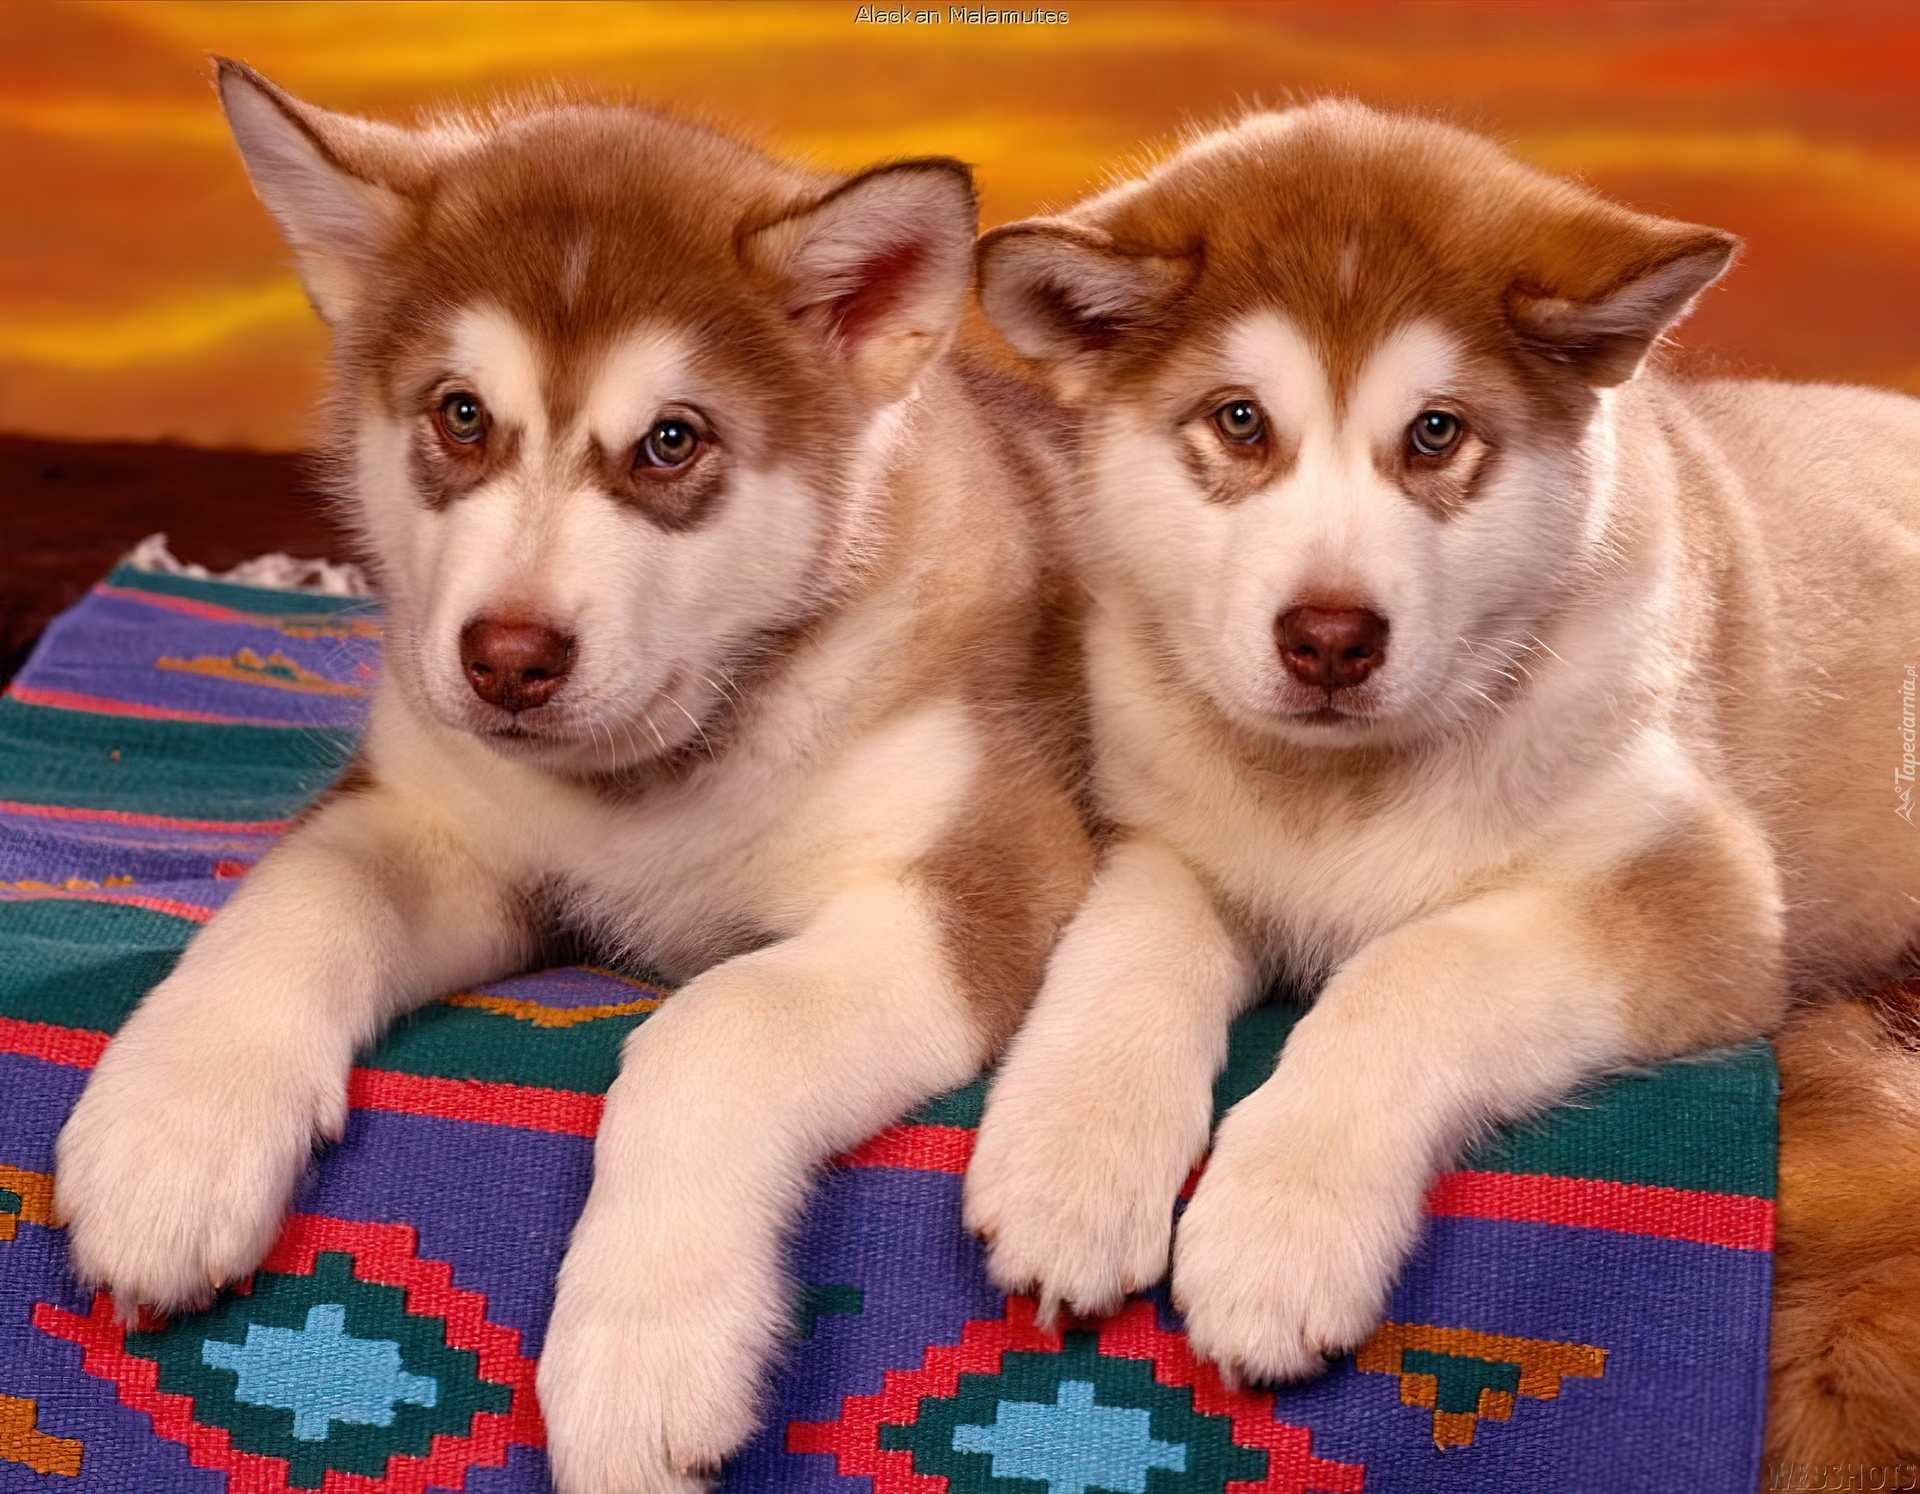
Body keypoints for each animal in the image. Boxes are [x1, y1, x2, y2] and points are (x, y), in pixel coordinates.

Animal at [52, 61, 1090, 1490]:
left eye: (671, 441)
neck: (649, 777)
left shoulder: (986, 880)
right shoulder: (432, 821)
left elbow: (715, 1024)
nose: (508, 660)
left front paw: (644, 1351)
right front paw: (170, 1135)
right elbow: (301, 895)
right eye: (460, 414)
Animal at [967, 98, 1920, 1428]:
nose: (1329, 638)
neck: (1338, 791)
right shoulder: (1163, 834)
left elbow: (1412, 970)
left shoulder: (1699, 898)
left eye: (1435, 432)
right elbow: (1131, 942)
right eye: (1240, 419)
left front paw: (1278, 1230)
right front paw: (1072, 1157)